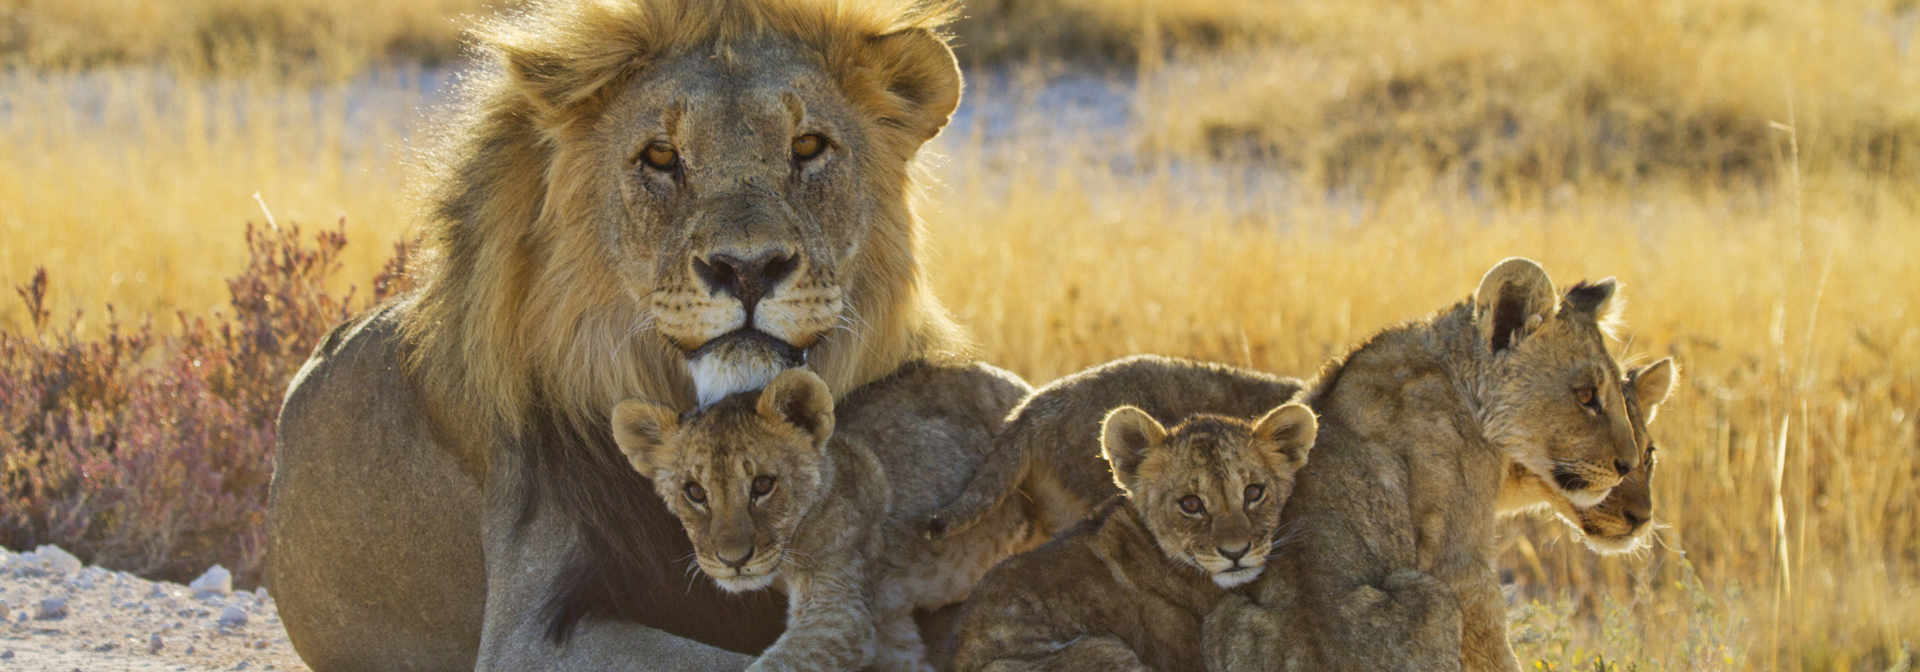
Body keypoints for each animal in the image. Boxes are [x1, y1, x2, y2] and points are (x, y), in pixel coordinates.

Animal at [1213, 259, 1651, 672]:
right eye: (1586, 395)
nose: (1626, 464)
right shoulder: (1458, 565)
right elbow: (1494, 646)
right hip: (1429, 594)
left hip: (1228, 614)